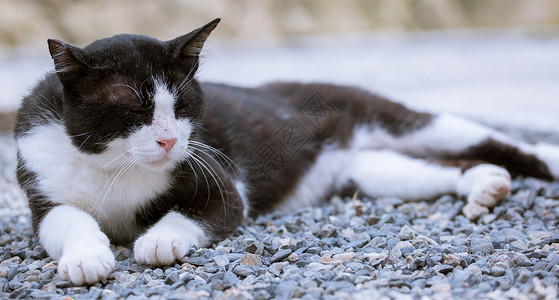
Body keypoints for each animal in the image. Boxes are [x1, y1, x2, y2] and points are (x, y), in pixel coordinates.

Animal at [13, 18, 559, 286]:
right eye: (133, 109)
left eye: (183, 105)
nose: (169, 140)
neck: (113, 167)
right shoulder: (41, 183)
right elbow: (65, 220)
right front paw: (87, 258)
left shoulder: (218, 177)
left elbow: (200, 211)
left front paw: (159, 241)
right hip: (369, 168)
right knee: (436, 165)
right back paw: (485, 183)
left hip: (390, 114)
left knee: (490, 138)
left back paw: (539, 159)